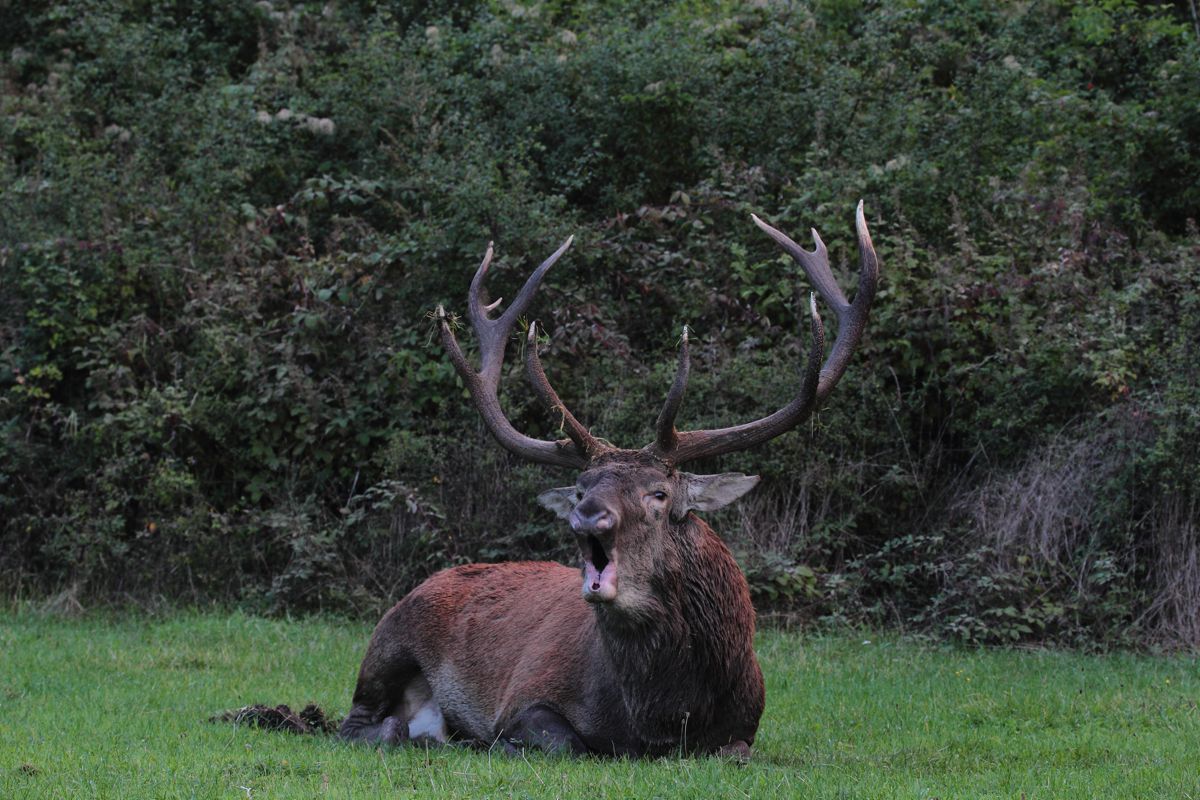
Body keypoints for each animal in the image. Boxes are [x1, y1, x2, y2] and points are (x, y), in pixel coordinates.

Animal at [338, 203, 879, 758]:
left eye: (659, 493)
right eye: (580, 487)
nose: (587, 515)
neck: (660, 722)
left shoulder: (744, 728)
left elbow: (736, 751)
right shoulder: (523, 699)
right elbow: (565, 742)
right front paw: (499, 744)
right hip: (387, 640)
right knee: (360, 722)